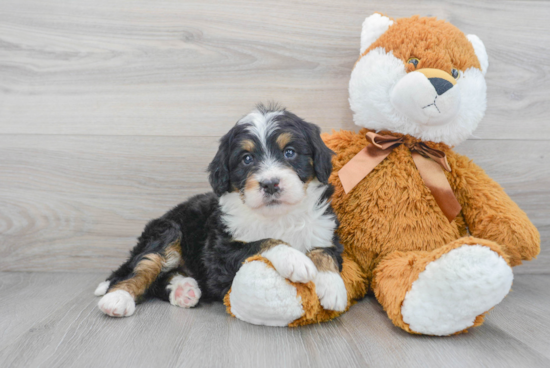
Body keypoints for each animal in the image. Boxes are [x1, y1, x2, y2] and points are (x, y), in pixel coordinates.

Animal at [94, 103, 344, 316]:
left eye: (289, 152)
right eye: (246, 159)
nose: (270, 184)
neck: (277, 217)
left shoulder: (324, 228)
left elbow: (325, 251)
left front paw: (333, 286)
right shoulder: (220, 252)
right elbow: (263, 242)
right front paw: (294, 259)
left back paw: (183, 289)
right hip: (168, 230)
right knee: (145, 266)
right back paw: (118, 298)